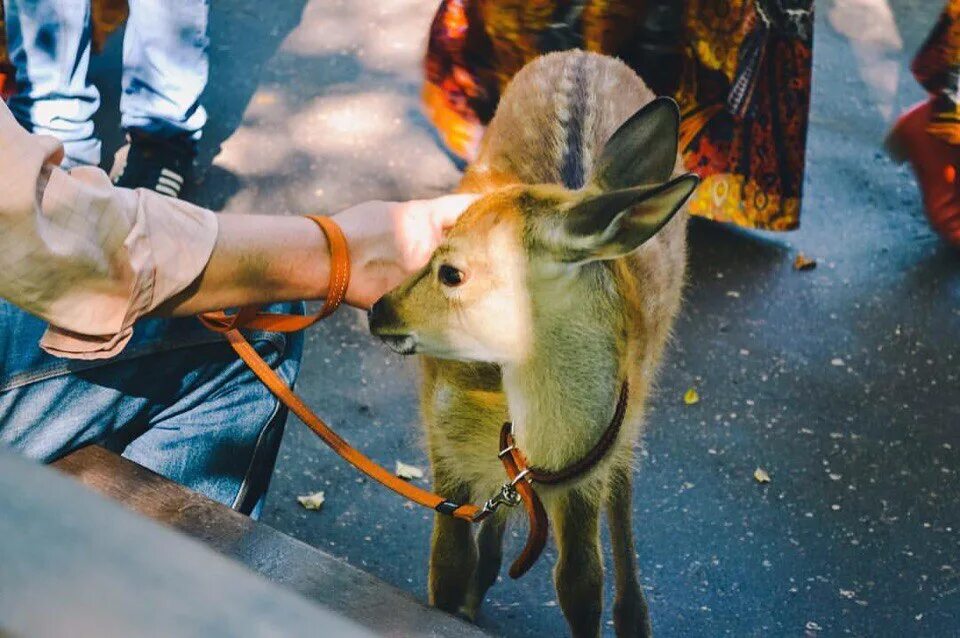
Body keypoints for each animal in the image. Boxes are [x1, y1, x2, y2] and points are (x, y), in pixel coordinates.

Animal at [368, 51, 696, 638]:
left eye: (452, 272)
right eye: (432, 246)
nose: (379, 310)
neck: (538, 454)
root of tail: (585, 54)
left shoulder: (586, 476)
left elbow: (581, 582)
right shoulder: (443, 443)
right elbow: (447, 564)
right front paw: (458, 603)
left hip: (640, 394)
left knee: (623, 488)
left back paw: (635, 617)